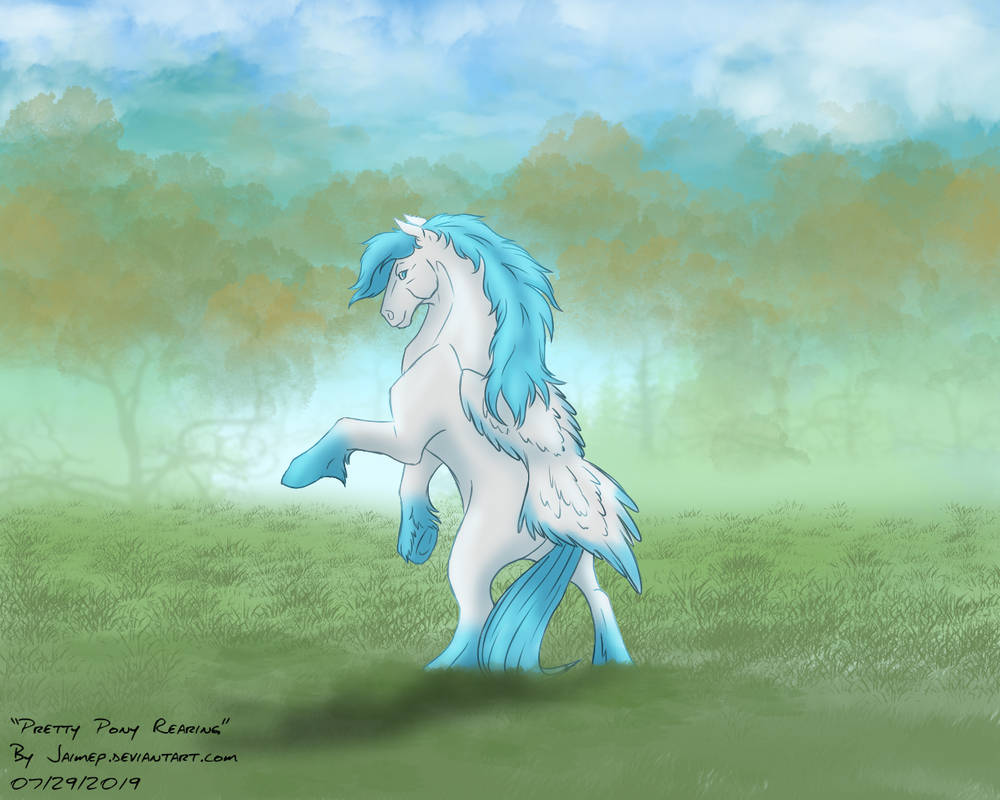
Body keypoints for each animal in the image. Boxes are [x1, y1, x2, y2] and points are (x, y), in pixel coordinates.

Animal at [281, 213, 641, 671]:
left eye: (403, 272)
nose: (391, 315)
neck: (453, 347)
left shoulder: (407, 435)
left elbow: (348, 426)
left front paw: (299, 471)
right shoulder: (425, 446)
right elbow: (411, 481)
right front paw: (417, 539)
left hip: (473, 555)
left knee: (478, 611)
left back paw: (446, 670)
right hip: (578, 563)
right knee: (599, 598)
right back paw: (614, 663)